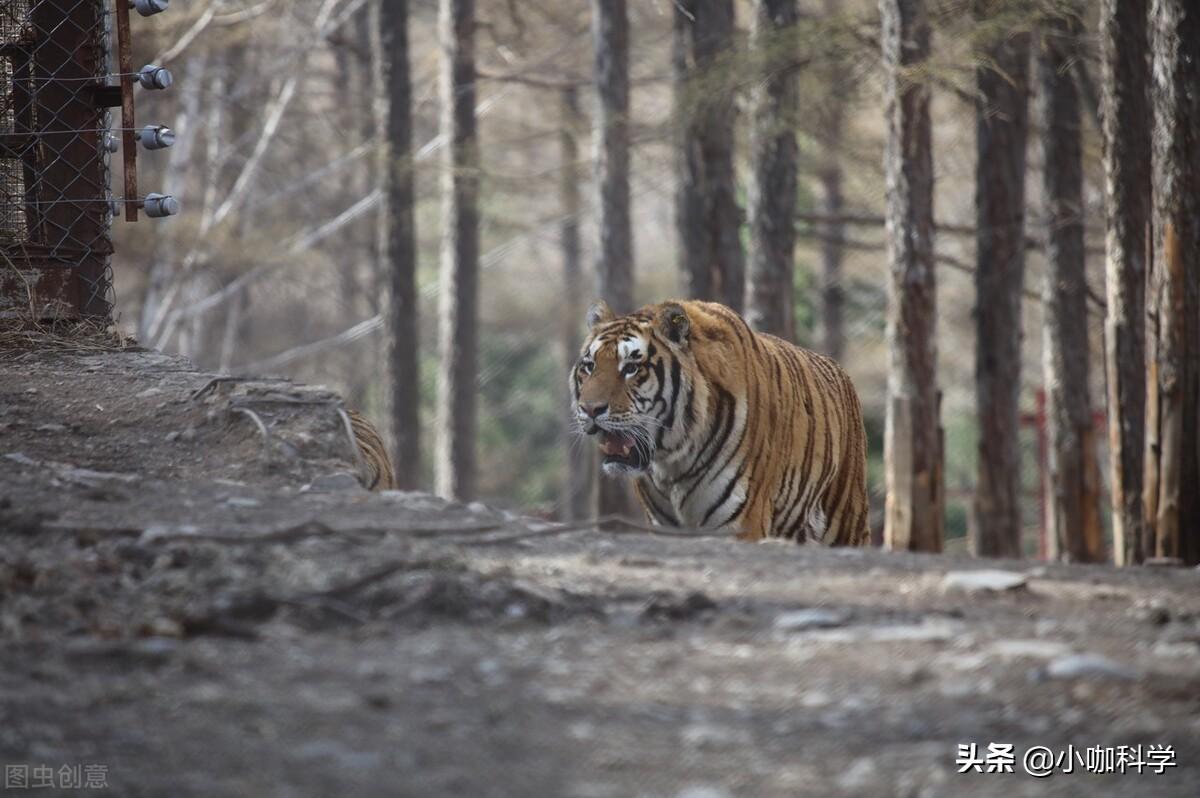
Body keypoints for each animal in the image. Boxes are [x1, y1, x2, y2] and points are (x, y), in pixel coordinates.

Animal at [566, 295, 868, 544]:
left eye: (631, 367)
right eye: (589, 366)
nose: (590, 410)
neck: (672, 461)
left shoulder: (742, 523)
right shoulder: (664, 526)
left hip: (846, 520)